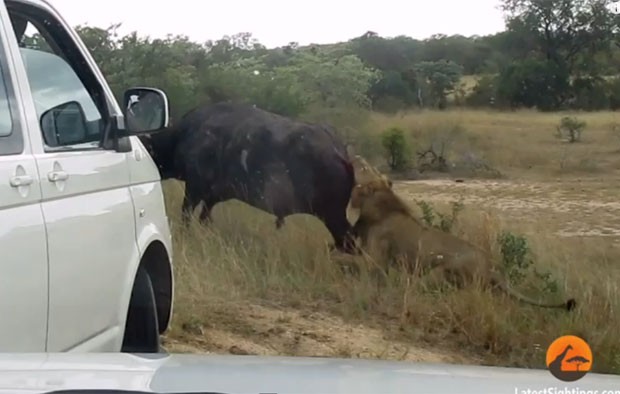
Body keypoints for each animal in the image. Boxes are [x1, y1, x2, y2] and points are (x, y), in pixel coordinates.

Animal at [138, 102, 356, 252]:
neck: (184, 135)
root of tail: (339, 151)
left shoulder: (194, 188)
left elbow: (186, 215)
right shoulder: (213, 197)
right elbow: (204, 217)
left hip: (332, 214)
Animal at [348, 179, 576, 310]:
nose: (355, 185)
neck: (381, 207)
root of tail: (491, 267)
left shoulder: (376, 256)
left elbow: (369, 274)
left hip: (441, 271)